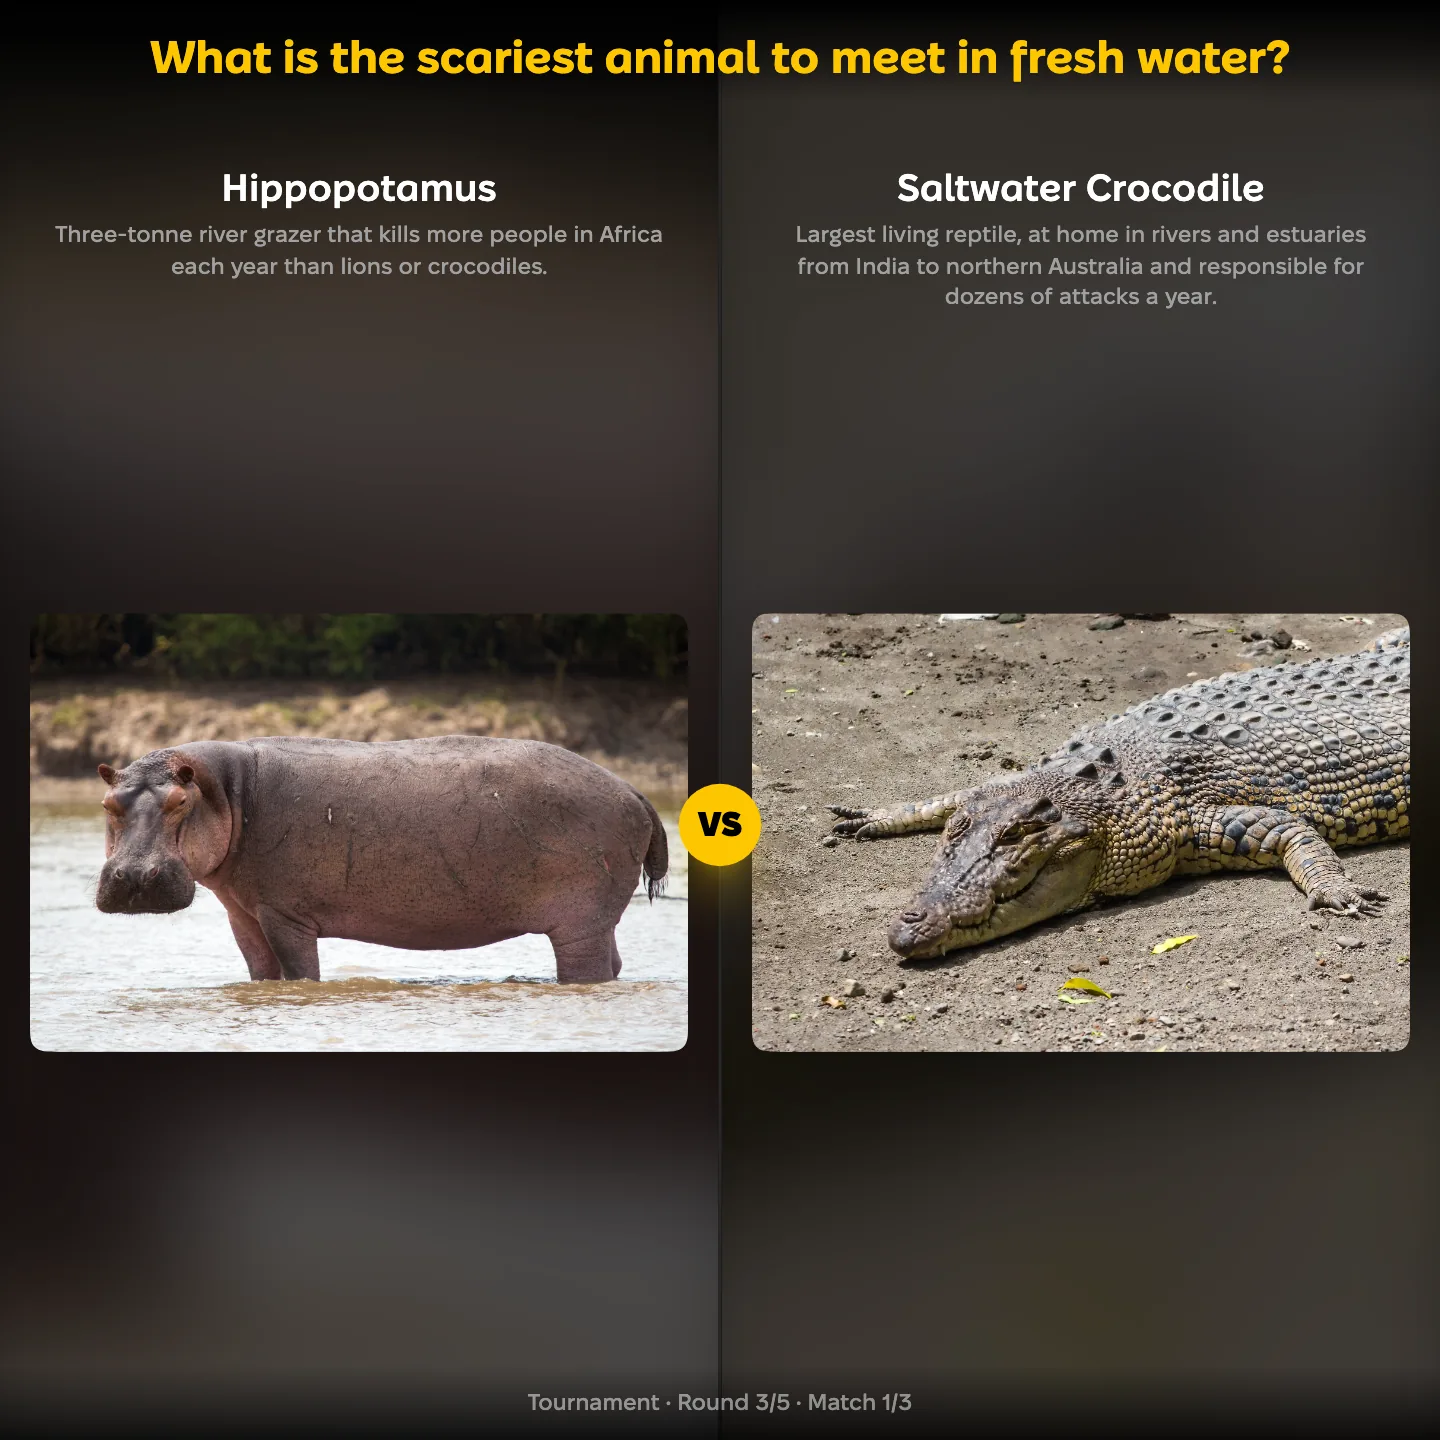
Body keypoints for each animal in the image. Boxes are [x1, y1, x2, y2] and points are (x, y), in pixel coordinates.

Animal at [94, 736, 669, 982]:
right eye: (107, 803)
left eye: (178, 802)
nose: (133, 877)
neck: (228, 793)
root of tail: (634, 791)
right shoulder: (244, 914)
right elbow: (261, 973)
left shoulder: (285, 914)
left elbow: (300, 973)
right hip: (597, 920)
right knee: (614, 964)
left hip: (579, 923)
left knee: (587, 968)